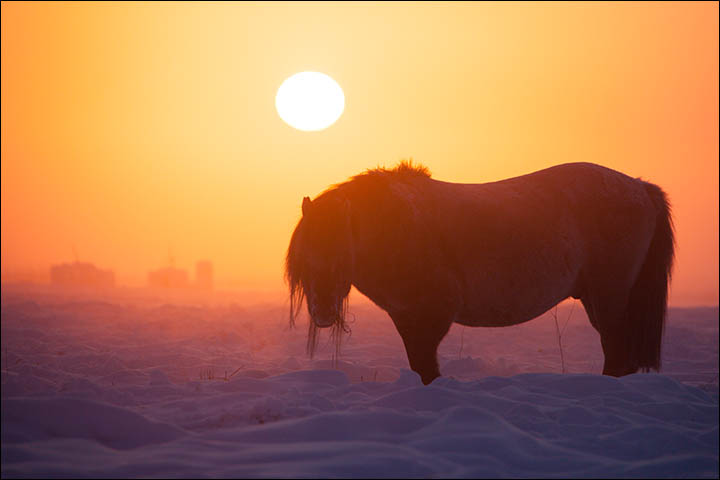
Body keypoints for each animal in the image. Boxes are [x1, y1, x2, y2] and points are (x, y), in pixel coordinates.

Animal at [286, 163, 676, 384]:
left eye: (340, 252)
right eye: (306, 257)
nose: (323, 314)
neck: (398, 225)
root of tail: (639, 187)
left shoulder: (432, 313)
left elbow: (426, 366)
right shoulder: (406, 316)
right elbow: (418, 363)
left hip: (609, 296)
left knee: (616, 349)